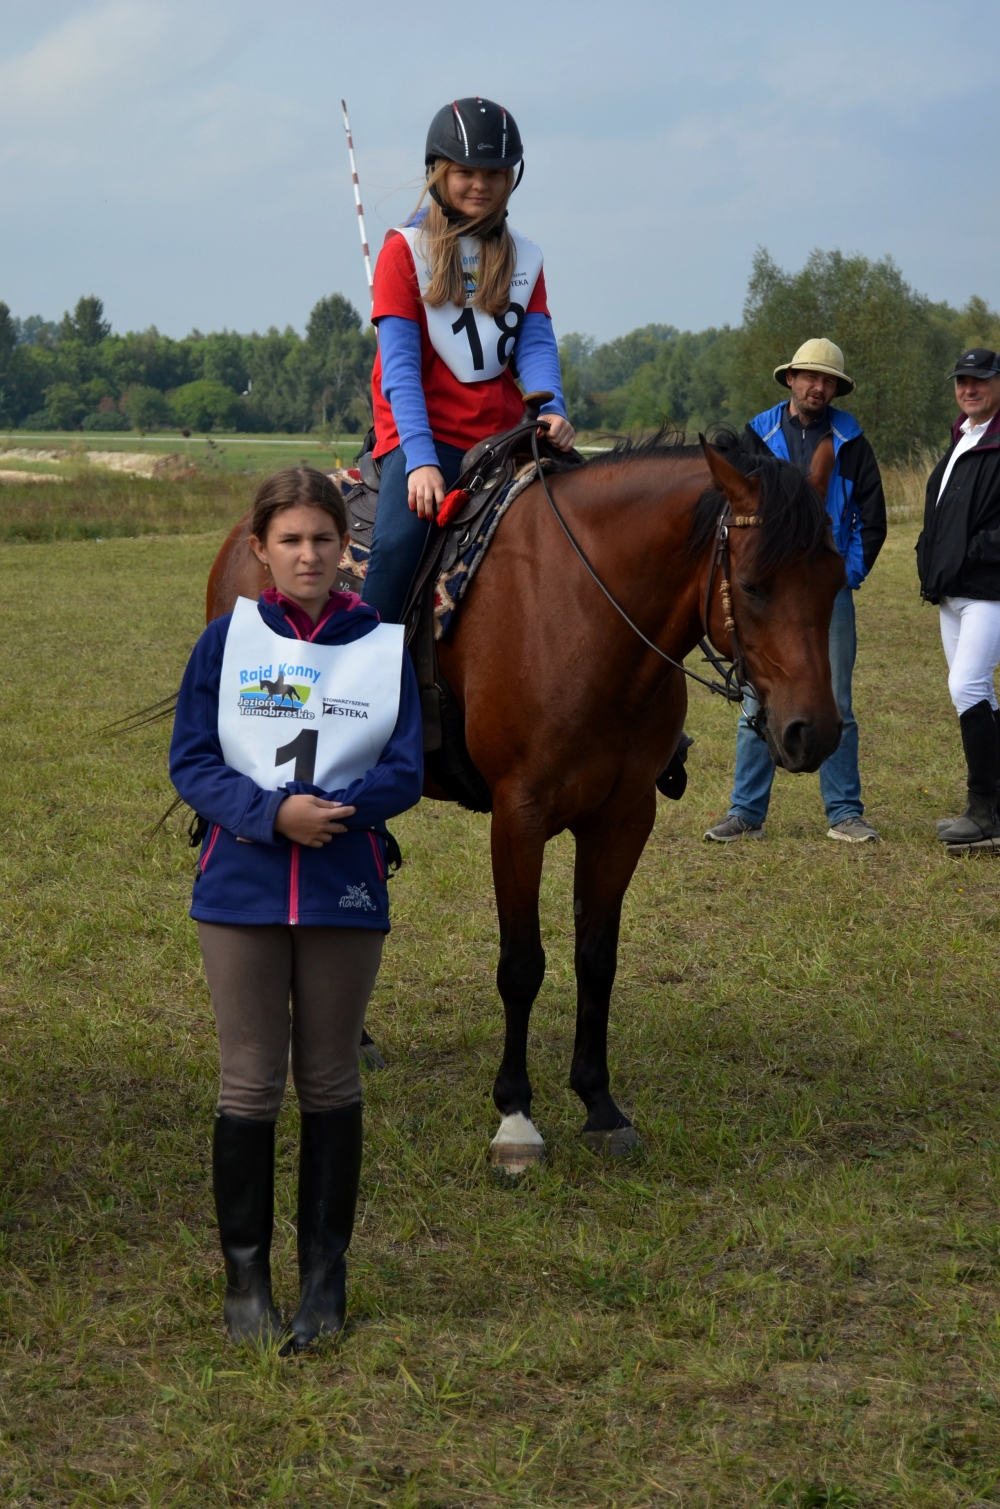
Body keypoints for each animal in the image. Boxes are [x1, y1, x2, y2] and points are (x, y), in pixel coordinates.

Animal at [204, 434, 844, 1171]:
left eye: (835, 580)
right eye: (756, 584)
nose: (814, 732)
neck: (587, 615)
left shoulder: (624, 816)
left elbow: (597, 958)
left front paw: (600, 1104)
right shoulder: (520, 815)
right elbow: (522, 964)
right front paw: (515, 1117)